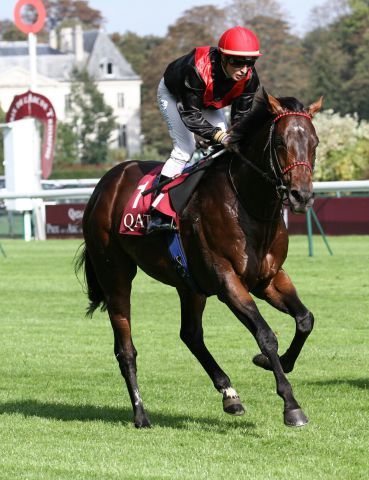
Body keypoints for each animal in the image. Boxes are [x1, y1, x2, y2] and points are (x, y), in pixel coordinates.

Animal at [75, 88, 322, 430]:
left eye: (315, 143)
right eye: (281, 143)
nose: (302, 196)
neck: (247, 204)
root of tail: (106, 182)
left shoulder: (269, 277)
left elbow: (305, 319)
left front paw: (273, 363)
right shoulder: (227, 280)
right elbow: (265, 335)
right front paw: (291, 405)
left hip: (189, 283)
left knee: (190, 334)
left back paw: (229, 394)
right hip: (115, 273)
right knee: (126, 349)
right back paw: (140, 414)